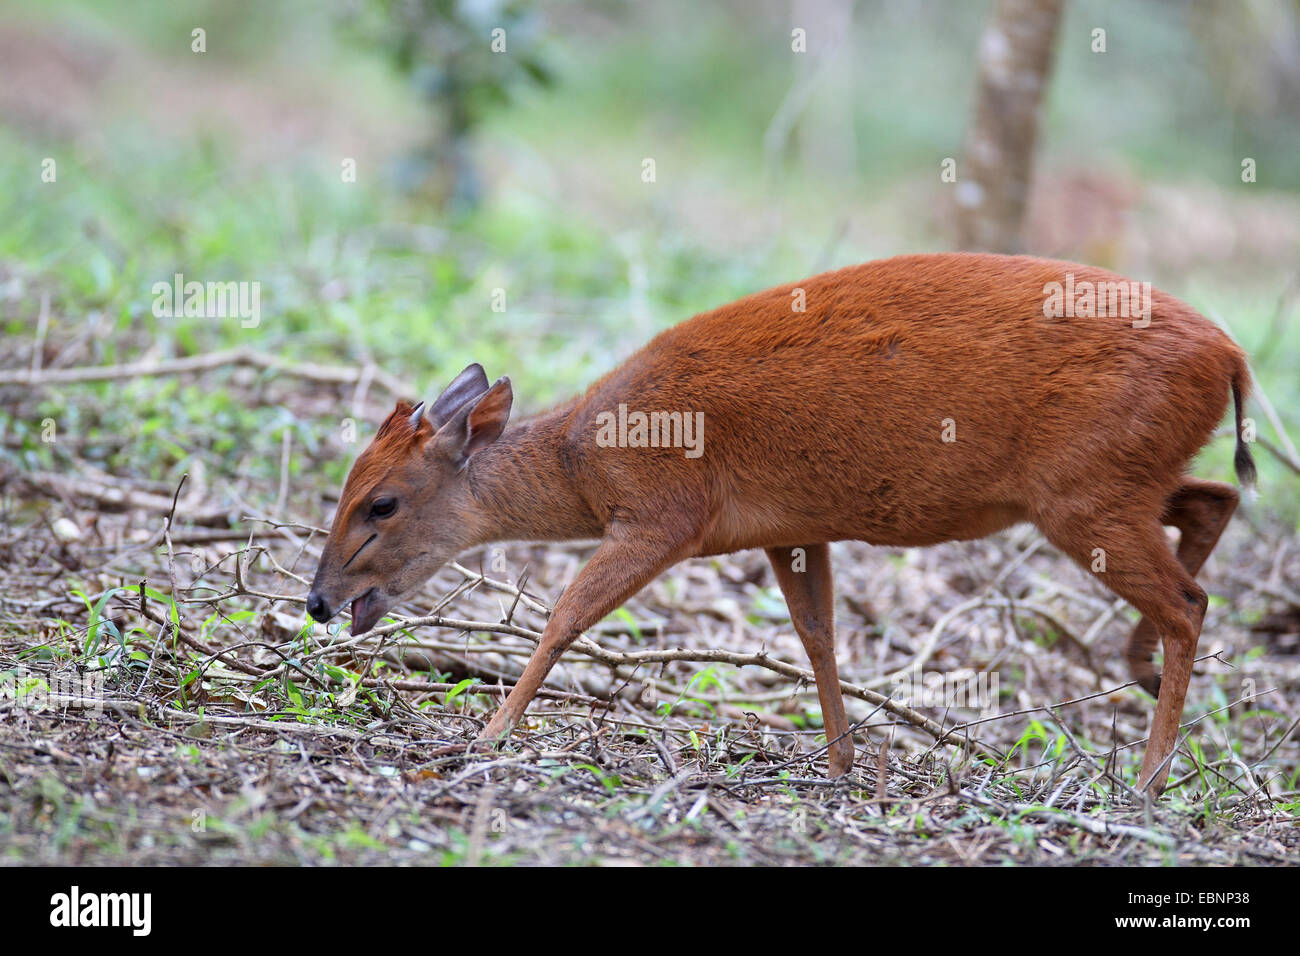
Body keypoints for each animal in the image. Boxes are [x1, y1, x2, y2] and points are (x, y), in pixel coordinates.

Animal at [304, 251, 1248, 796]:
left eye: (380, 502)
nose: (316, 601)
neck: (585, 462)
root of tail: (1232, 355)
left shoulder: (661, 515)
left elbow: (564, 616)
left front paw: (489, 734)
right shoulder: (787, 528)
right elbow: (818, 636)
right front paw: (840, 764)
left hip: (1080, 492)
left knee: (1189, 602)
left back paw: (1150, 779)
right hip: (1105, 483)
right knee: (1216, 501)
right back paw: (1138, 675)